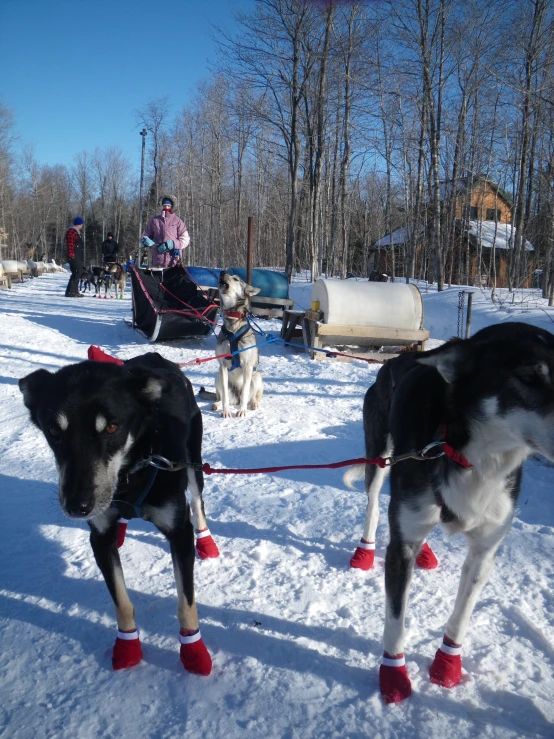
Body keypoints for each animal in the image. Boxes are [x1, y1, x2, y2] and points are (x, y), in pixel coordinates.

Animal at [19, 352, 218, 676]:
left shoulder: (179, 533)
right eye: (54, 431)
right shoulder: (99, 539)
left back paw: (207, 541)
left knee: (198, 502)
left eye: (111, 428)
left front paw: (193, 649)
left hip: (192, 463)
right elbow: (121, 601)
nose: (77, 505)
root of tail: (154, 357)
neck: (131, 473)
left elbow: (186, 603)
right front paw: (127, 644)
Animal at [211, 274, 264, 422]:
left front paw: (242, 411)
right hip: (217, 376)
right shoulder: (222, 365)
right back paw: (217, 404)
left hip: (257, 377)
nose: (222, 272)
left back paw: (253, 403)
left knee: (252, 397)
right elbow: (225, 396)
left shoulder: (247, 366)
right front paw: (226, 412)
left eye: (236, 279)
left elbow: (245, 392)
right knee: (224, 397)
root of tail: (236, 397)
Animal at [342, 324, 552, 704]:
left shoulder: (484, 553)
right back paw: (365, 550)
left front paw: (447, 664)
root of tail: (394, 361)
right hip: (381, 461)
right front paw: (393, 674)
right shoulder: (399, 551)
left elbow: (460, 617)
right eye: (529, 377)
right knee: (375, 506)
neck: (475, 459)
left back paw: (424, 551)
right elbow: (395, 622)